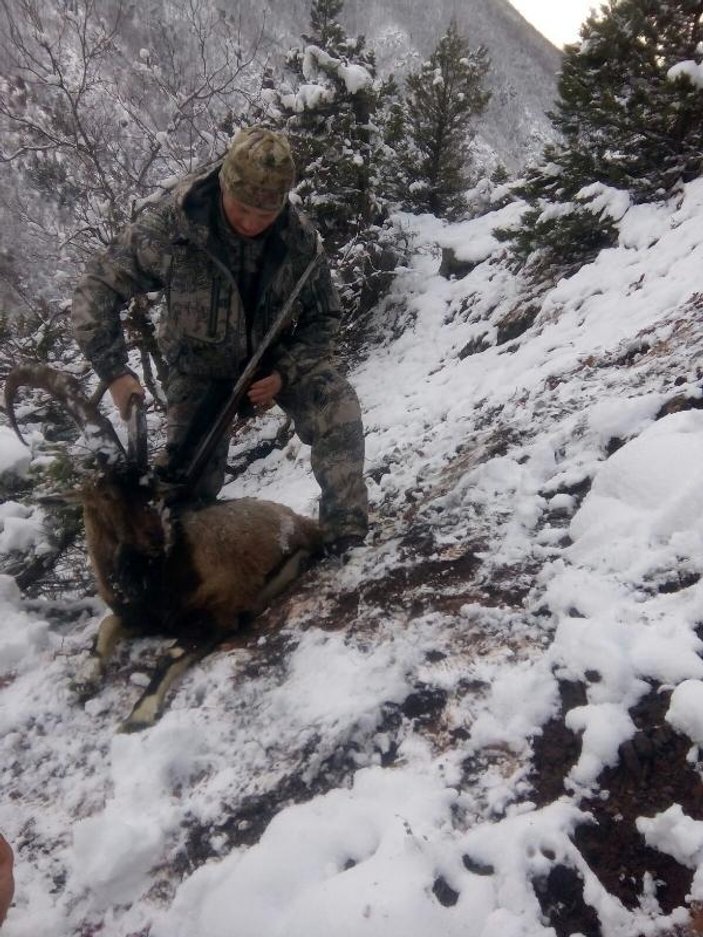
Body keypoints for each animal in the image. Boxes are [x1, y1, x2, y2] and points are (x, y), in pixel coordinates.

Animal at [4, 364, 324, 732]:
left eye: (150, 488)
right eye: (108, 494)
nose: (160, 538)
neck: (151, 580)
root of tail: (295, 517)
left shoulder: (218, 613)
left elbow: (169, 655)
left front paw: (137, 715)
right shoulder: (134, 615)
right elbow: (104, 628)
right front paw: (82, 681)